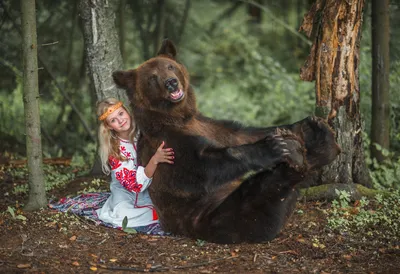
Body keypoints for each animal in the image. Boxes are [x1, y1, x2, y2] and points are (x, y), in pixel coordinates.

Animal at [113, 39, 340, 244]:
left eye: (170, 66)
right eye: (152, 78)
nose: (171, 82)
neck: (178, 117)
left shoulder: (209, 125)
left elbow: (242, 133)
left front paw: (306, 124)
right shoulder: (167, 143)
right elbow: (202, 166)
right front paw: (274, 146)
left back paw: (322, 138)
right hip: (213, 216)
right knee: (259, 195)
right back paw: (298, 154)